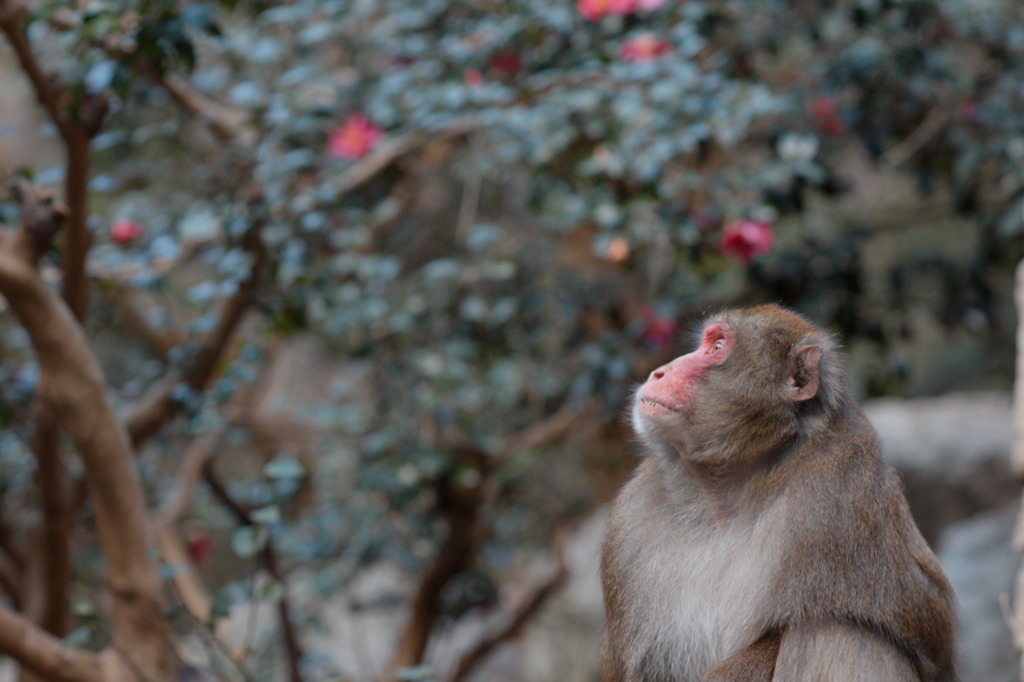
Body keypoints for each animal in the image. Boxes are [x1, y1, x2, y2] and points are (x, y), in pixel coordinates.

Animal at [602, 303, 954, 679]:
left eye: (717, 347)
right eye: (706, 343)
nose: (658, 373)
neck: (723, 489)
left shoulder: (835, 502)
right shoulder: (632, 518)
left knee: (835, 633)